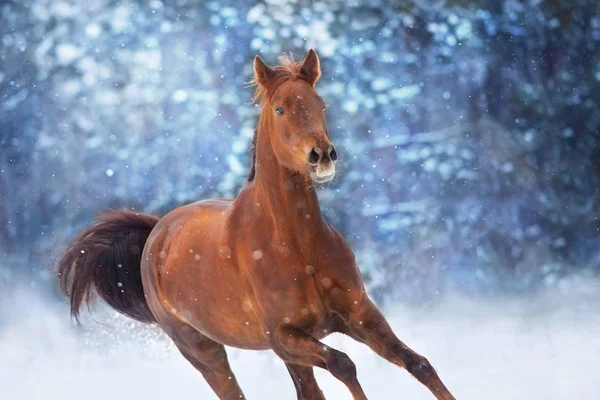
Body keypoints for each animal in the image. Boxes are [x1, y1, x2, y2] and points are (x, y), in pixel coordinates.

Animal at [58, 50, 458, 400]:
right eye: (280, 108)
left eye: (321, 104)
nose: (322, 156)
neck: (298, 246)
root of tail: (156, 233)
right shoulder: (283, 335)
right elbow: (344, 364)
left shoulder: (358, 314)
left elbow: (418, 363)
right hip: (205, 352)